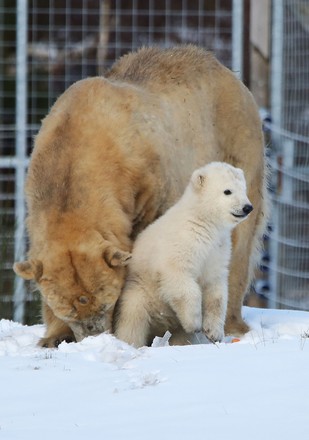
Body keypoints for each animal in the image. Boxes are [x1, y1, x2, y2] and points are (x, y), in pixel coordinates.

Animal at [13, 44, 266, 348]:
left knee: (239, 245)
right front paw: (53, 337)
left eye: (107, 303)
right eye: (69, 310)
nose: (96, 337)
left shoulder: (150, 180)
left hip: (238, 143)